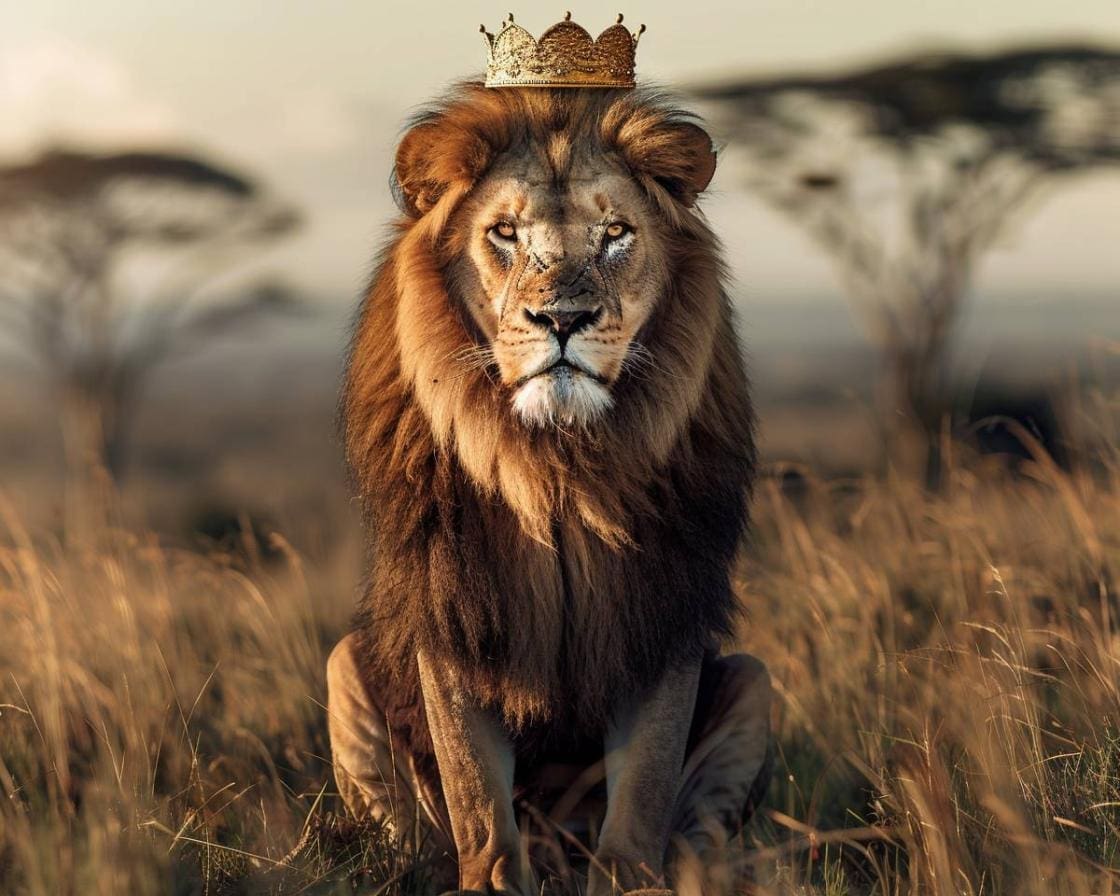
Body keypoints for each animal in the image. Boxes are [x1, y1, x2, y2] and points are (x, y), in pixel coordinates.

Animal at [327, 82, 772, 896]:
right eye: (504, 232)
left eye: (616, 233)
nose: (563, 319)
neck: (554, 467)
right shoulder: (455, 608)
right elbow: (474, 790)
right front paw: (493, 880)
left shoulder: (660, 608)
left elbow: (645, 786)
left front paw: (628, 880)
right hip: (346, 664)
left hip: (752, 683)